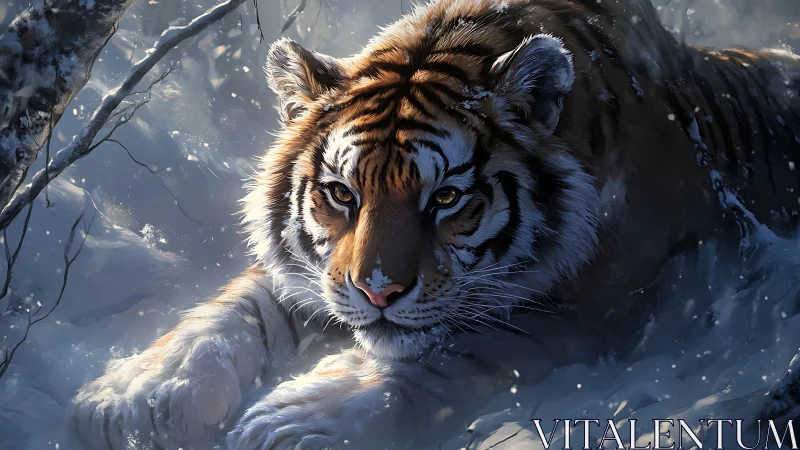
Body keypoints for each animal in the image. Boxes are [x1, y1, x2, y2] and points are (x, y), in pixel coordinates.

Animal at [70, 0, 800, 449]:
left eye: (446, 198)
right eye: (342, 194)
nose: (378, 291)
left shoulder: (605, 306)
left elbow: (459, 345)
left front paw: (294, 421)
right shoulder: (321, 272)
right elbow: (243, 302)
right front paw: (141, 397)